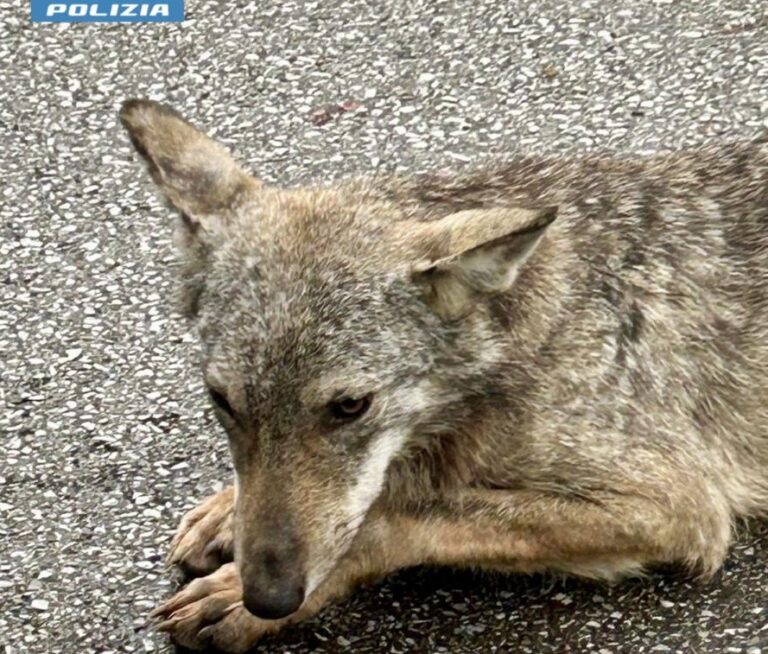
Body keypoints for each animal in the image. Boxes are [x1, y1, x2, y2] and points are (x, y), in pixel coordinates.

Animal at [120, 99, 768, 652]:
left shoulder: (675, 507)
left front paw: (244, 595)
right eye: (223, 401)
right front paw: (228, 510)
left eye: (351, 406)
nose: (268, 597)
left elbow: (398, 519)